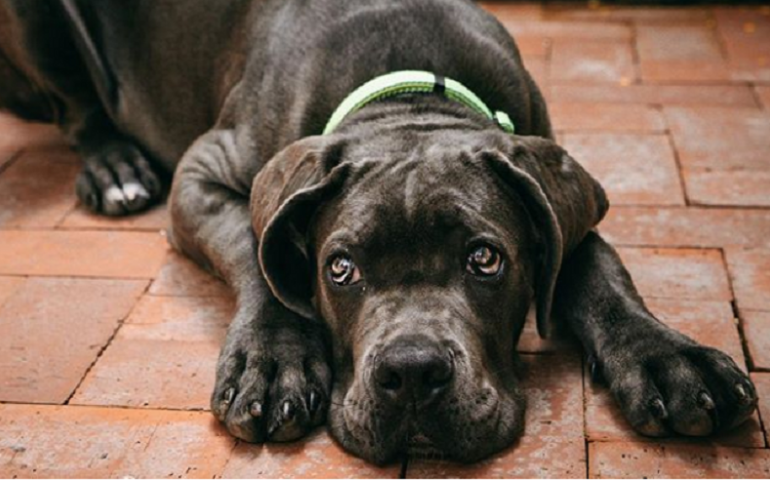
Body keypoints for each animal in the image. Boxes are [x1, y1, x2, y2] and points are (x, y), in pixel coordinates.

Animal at [1, 0, 756, 464]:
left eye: (486, 259)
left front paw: (666, 357)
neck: (408, 95)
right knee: (78, 111)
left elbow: (599, 268)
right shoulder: (203, 171)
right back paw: (115, 166)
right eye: (340, 268)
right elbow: (257, 247)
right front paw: (272, 360)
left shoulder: (559, 190)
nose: (412, 373)